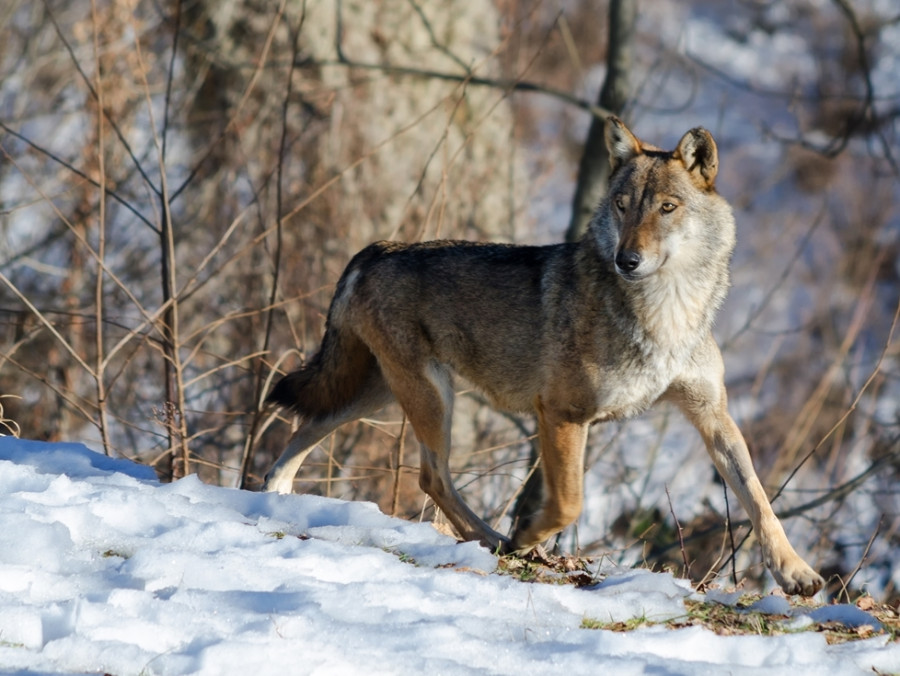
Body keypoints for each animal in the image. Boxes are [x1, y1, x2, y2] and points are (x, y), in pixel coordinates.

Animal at [264, 117, 828, 596]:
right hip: (428, 397)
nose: (627, 259)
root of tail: (375, 249)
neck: (666, 311)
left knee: (312, 427)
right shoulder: (562, 413)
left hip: (383, 394)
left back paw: (277, 495)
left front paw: (795, 572)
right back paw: (496, 540)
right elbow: (569, 502)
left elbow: (759, 498)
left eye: (667, 207)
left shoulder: (712, 414)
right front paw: (529, 536)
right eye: (622, 205)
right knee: (431, 476)